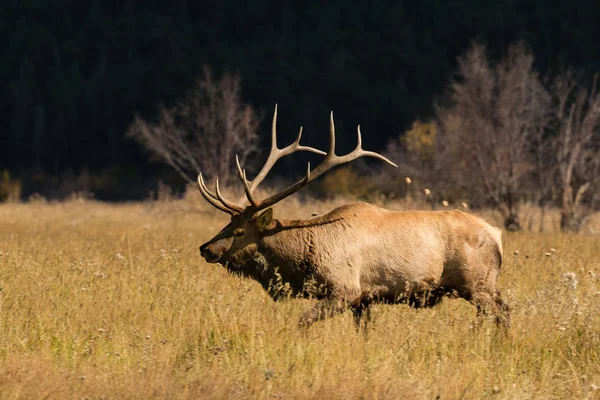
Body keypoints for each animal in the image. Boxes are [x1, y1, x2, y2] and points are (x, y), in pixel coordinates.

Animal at [199, 105, 508, 328]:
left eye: (240, 232)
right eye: (228, 223)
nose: (206, 248)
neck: (303, 259)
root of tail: (497, 235)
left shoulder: (345, 289)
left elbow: (302, 322)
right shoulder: (364, 299)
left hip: (478, 283)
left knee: (502, 312)